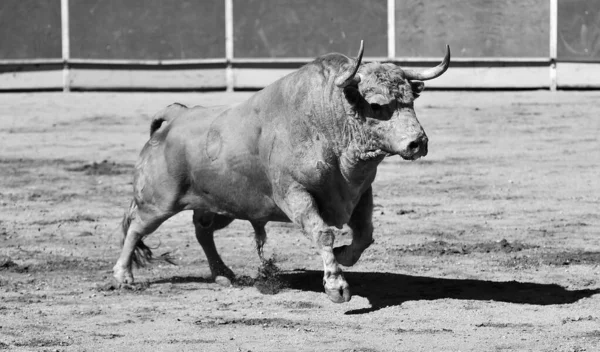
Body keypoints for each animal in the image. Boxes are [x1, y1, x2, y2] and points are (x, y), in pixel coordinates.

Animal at [112, 42, 450, 302]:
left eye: (410, 101)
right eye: (378, 105)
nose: (418, 142)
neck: (327, 120)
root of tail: (175, 117)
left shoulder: (360, 193)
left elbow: (365, 235)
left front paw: (343, 256)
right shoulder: (295, 194)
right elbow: (323, 233)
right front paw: (336, 286)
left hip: (223, 204)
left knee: (202, 231)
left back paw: (222, 274)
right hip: (159, 202)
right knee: (137, 227)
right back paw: (123, 276)